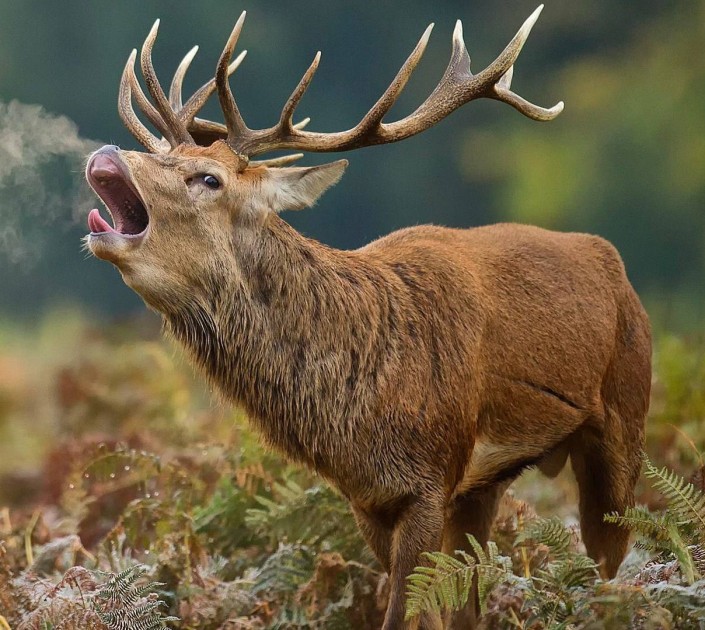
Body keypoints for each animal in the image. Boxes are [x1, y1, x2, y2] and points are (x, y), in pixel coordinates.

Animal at [85, 6, 652, 630]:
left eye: (208, 178)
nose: (108, 153)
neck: (357, 414)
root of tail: (612, 261)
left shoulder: (430, 479)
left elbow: (405, 613)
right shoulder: (367, 497)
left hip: (624, 421)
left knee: (610, 569)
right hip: (484, 486)